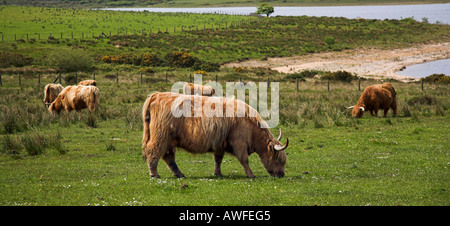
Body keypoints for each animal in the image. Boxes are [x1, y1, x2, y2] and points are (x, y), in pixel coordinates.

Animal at [141, 92, 288, 178]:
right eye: (279, 160)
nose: (281, 174)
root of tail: (156, 95)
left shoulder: (220, 144)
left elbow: (218, 159)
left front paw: (218, 173)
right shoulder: (239, 143)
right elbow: (244, 160)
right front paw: (251, 175)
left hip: (169, 140)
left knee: (169, 157)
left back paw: (180, 174)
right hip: (161, 136)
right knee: (153, 151)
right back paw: (154, 174)